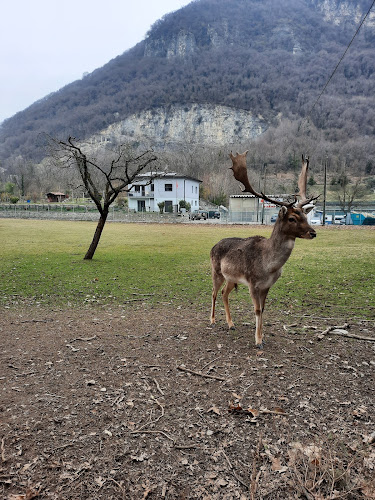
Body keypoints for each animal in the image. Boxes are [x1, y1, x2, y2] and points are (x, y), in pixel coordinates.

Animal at [212, 150, 318, 350]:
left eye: (305, 216)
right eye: (292, 218)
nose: (313, 232)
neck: (268, 266)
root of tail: (214, 244)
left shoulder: (267, 285)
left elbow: (263, 309)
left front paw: (262, 337)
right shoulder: (252, 283)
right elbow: (257, 310)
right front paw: (258, 341)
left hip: (231, 277)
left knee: (224, 294)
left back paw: (231, 324)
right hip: (216, 271)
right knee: (214, 292)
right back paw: (213, 320)